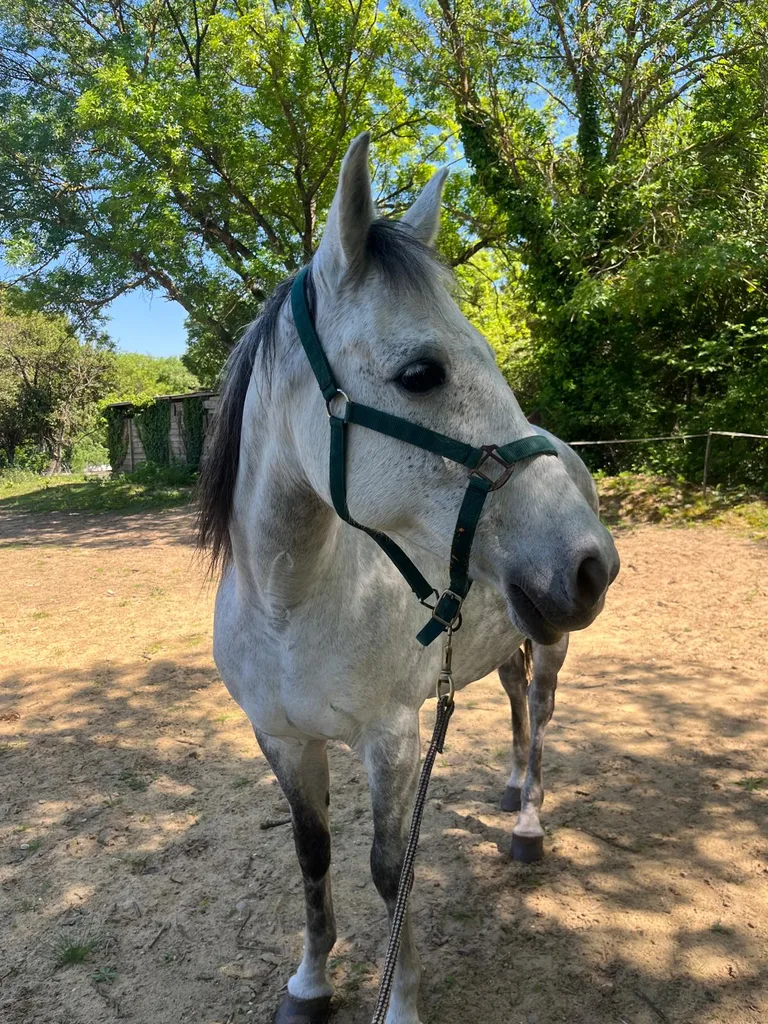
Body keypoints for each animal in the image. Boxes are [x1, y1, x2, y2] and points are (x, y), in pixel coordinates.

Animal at [198, 132, 619, 1024]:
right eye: (422, 373)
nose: (592, 563)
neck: (290, 606)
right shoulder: (281, 740)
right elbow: (313, 856)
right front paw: (311, 983)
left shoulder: (391, 739)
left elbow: (391, 873)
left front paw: (401, 1001)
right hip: (508, 633)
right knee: (513, 704)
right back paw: (508, 786)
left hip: (553, 644)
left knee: (541, 715)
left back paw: (527, 824)